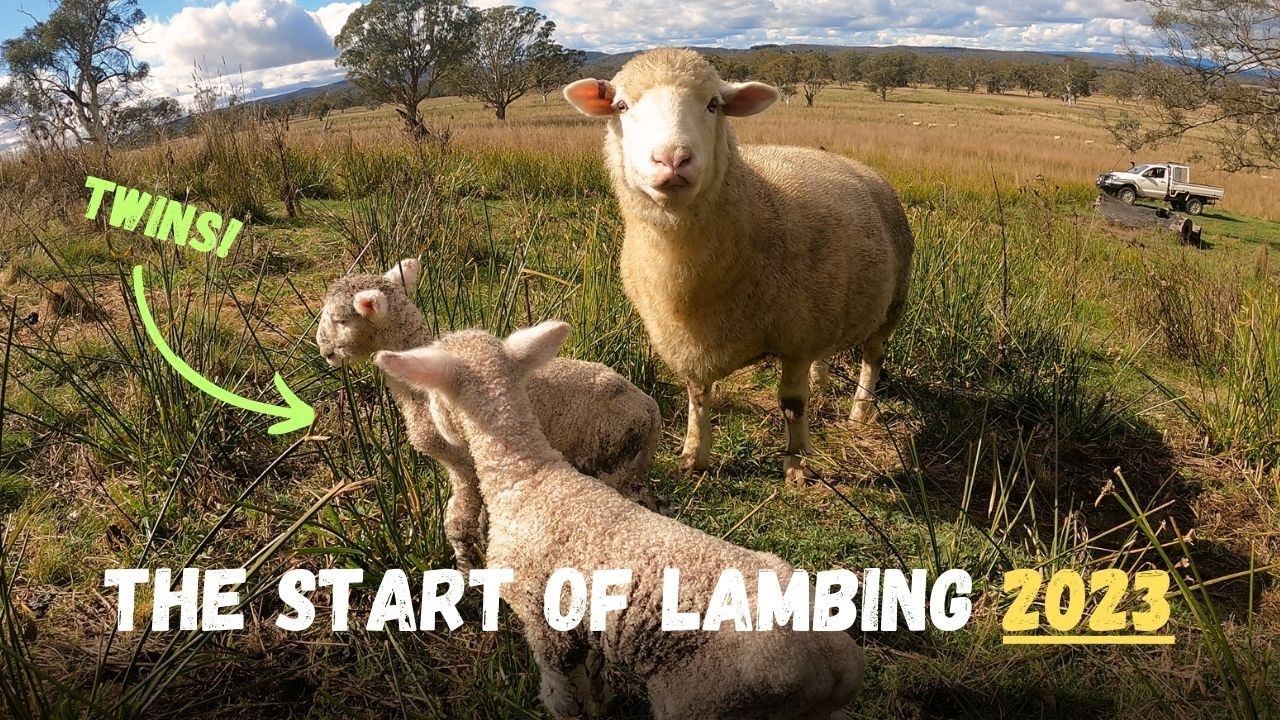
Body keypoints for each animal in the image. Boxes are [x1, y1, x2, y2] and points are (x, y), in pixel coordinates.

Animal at [316, 260, 663, 570]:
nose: (323, 350)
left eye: (341, 320)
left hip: (611, 457)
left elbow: (459, 521)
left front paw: (464, 569)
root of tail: (650, 407)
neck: (418, 393)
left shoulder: (464, 464)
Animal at [373, 321, 865, 720]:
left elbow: (561, 696)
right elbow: (593, 683)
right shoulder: (585, 628)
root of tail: (834, 665)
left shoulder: (542, 622)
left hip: (706, 698)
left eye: (434, 396)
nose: (433, 433)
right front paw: (599, 705)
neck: (526, 476)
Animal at [563, 48, 914, 484]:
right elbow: (698, 397)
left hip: (891, 304)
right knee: (828, 352)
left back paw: (859, 412)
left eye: (714, 104)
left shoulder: (796, 337)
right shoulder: (688, 340)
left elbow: (793, 404)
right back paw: (824, 381)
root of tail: (862, 167)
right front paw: (693, 456)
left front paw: (797, 464)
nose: (672, 159)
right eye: (622, 106)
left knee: (872, 358)